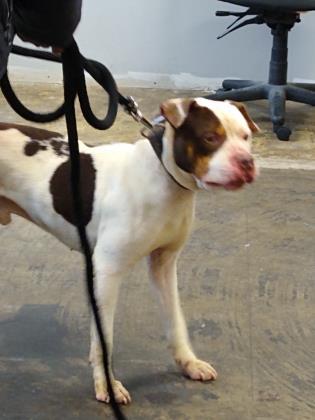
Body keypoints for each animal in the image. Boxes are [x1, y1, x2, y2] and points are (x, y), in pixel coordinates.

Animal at [0, 97, 260, 404]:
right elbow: (104, 340)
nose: (246, 162)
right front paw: (107, 385)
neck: (163, 177)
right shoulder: (106, 272)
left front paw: (189, 363)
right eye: (210, 137)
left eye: (246, 137)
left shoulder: (164, 265)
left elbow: (176, 321)